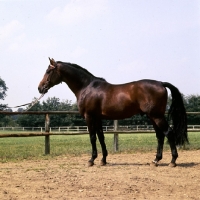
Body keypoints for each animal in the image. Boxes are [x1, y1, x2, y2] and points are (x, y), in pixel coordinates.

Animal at [38, 57, 188, 167]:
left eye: (48, 71)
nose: (40, 88)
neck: (87, 87)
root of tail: (161, 83)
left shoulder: (89, 117)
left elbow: (92, 137)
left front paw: (91, 160)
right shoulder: (97, 118)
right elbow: (101, 137)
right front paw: (103, 160)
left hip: (156, 116)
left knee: (168, 133)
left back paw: (172, 161)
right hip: (153, 117)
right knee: (160, 136)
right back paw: (155, 160)